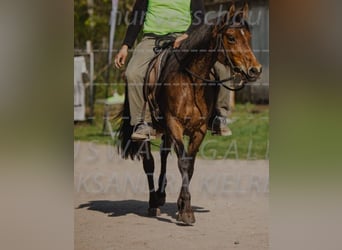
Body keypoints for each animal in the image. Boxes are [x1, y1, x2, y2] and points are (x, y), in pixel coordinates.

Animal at [115, 2, 262, 225]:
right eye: (231, 37)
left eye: (249, 36)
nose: (255, 70)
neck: (191, 81)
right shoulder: (174, 124)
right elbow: (182, 162)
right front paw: (186, 212)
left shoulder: (198, 130)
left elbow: (190, 165)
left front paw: (182, 206)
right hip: (147, 129)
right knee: (149, 162)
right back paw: (153, 203)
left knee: (164, 155)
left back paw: (161, 196)